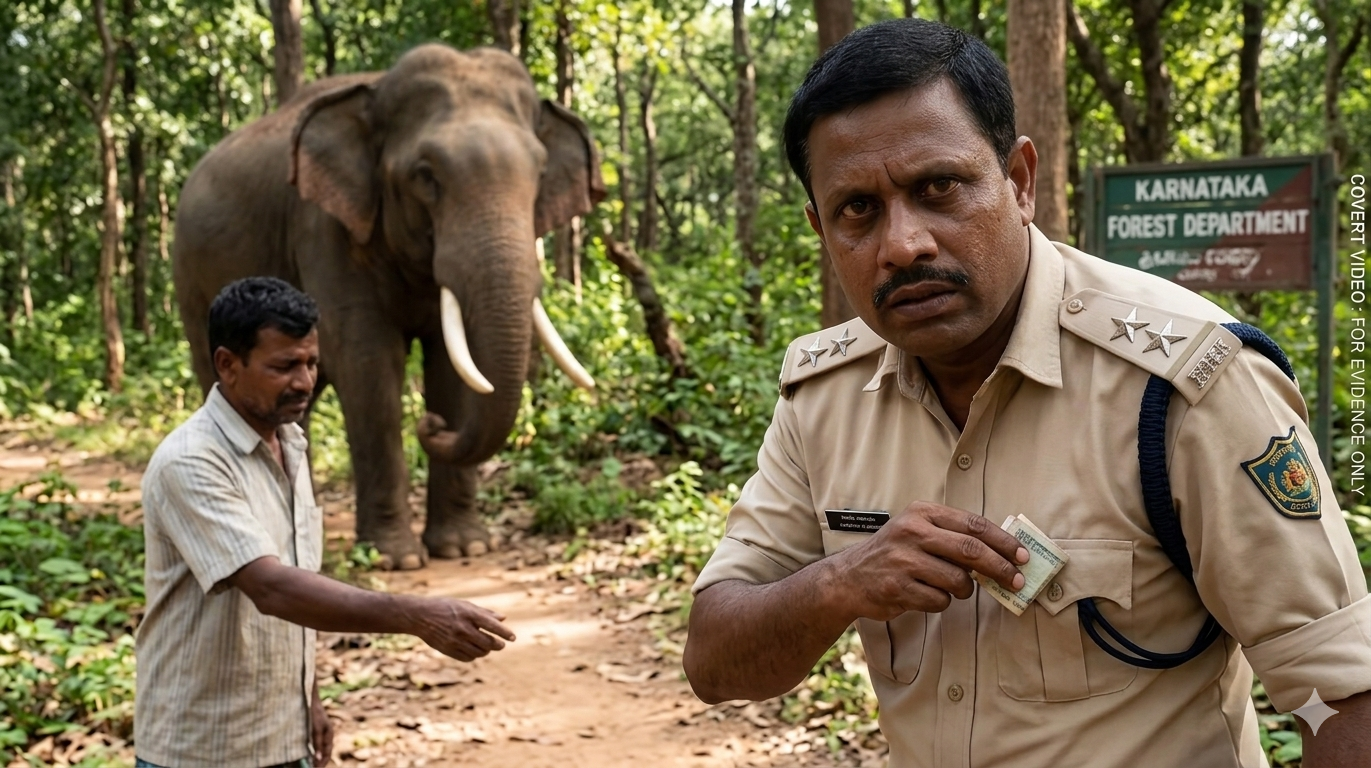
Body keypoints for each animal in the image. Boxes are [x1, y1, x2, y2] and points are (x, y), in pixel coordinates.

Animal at [172, 44, 605, 570]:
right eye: (425, 176)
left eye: (540, 174)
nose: (432, 426)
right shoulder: (323, 226)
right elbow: (368, 362)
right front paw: (394, 559)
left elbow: (450, 367)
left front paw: (464, 547)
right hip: (192, 281)